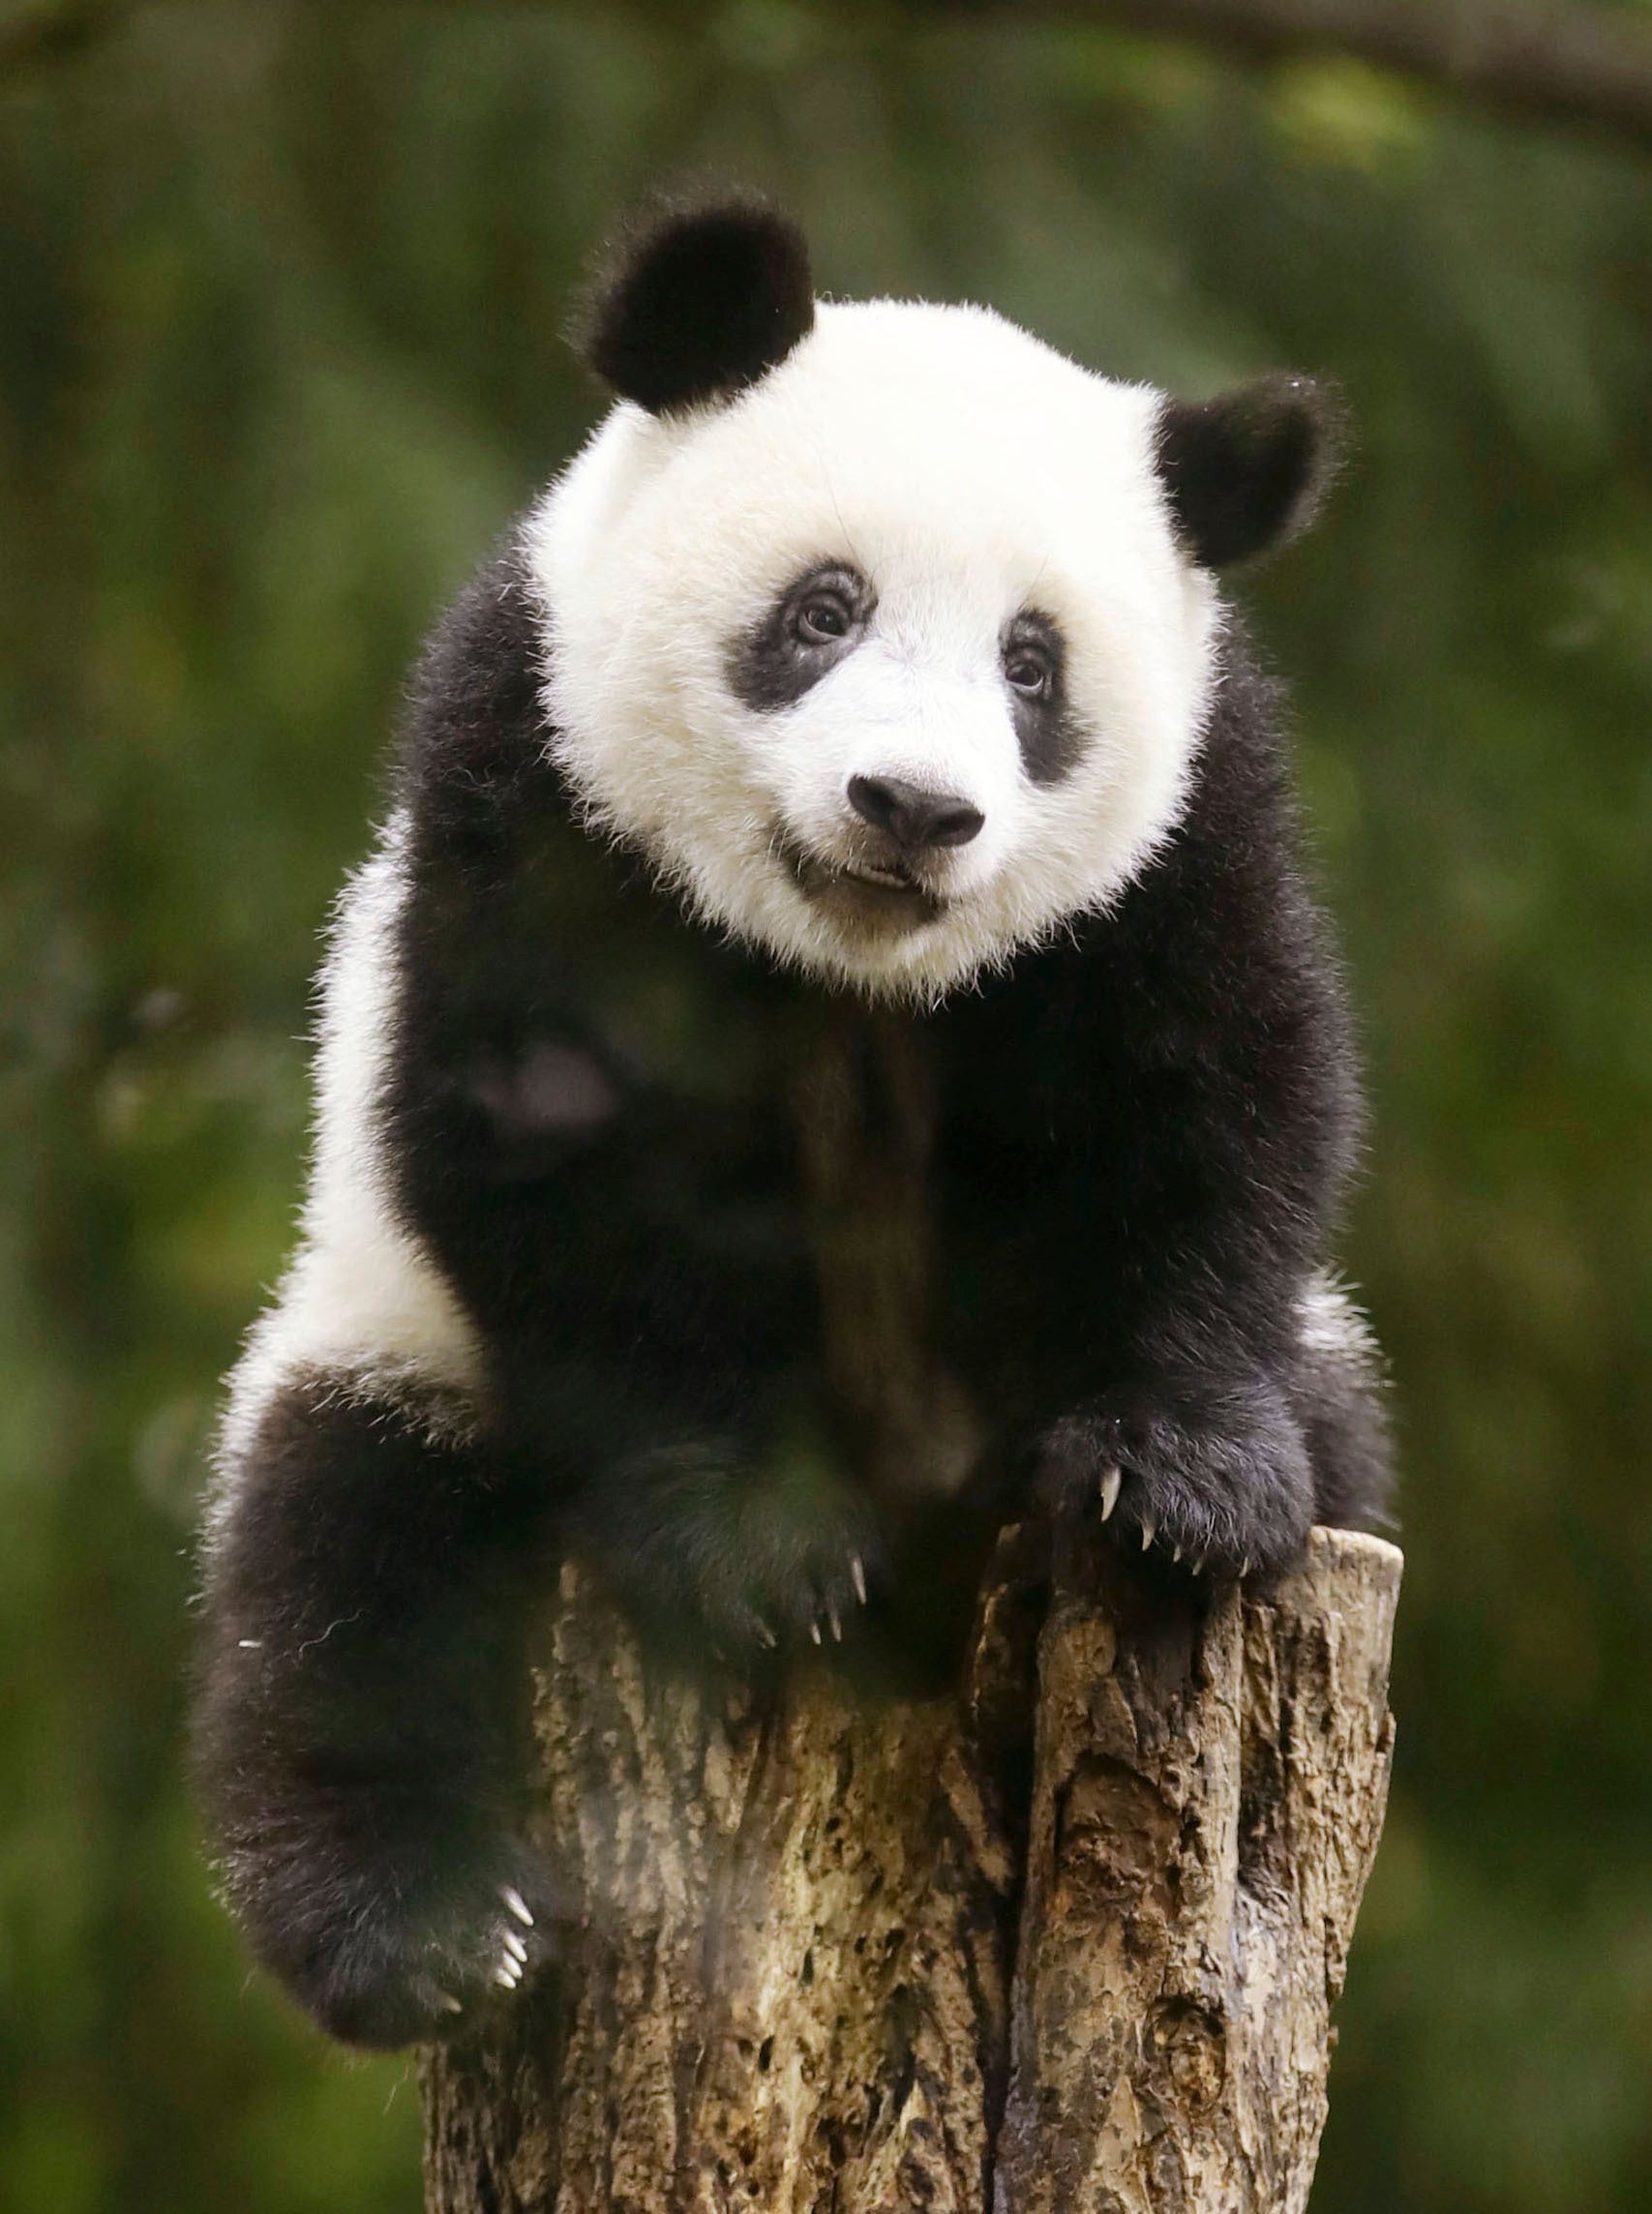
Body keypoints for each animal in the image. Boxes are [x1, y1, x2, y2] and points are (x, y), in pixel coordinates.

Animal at [193, 196, 1390, 2051]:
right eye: (824, 608)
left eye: (1031, 664)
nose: (913, 807)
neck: (852, 975)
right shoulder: (532, 776)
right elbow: (546, 1156)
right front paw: (759, 1538)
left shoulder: (1187, 848)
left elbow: (1220, 1103)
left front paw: (1175, 1479)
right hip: (399, 1347)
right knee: (343, 1572)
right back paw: (426, 1930)